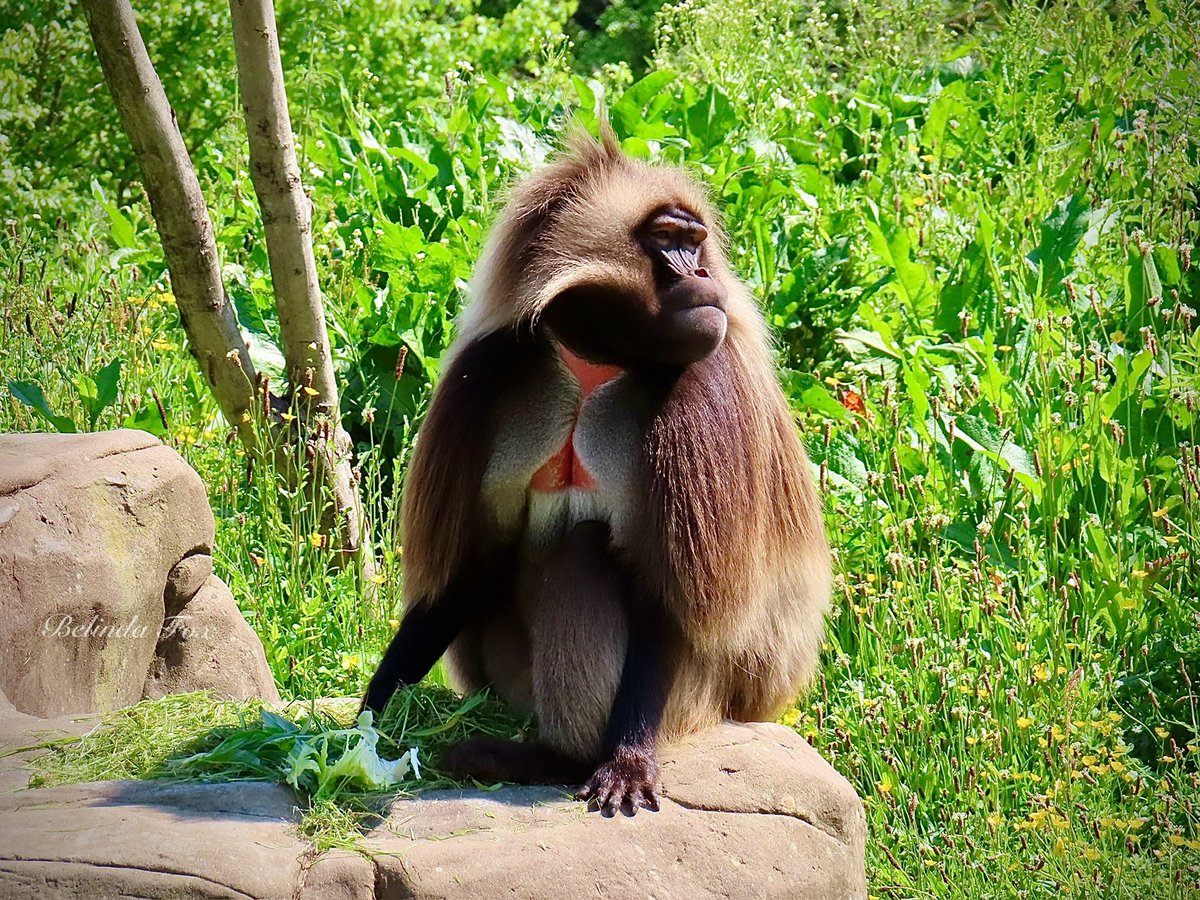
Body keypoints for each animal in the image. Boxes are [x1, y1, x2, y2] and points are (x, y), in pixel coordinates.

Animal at [362, 128, 831, 817]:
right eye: (668, 239)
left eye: (696, 242)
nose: (704, 276)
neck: (596, 361)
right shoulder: (486, 369)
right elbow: (476, 561)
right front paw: (368, 718)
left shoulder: (705, 381)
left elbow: (668, 599)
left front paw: (626, 762)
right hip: (512, 680)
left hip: (698, 700)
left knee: (585, 551)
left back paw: (555, 759)